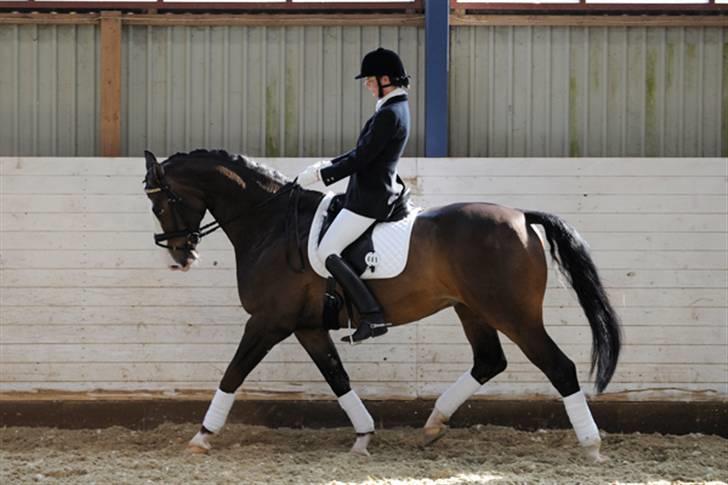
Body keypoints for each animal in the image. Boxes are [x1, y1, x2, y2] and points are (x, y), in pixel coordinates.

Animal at [145, 148, 624, 462]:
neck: (271, 225)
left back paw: (591, 446)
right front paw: (363, 435)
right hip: (471, 309)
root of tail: (522, 217)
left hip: (513, 314)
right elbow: (337, 378)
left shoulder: (268, 322)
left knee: (559, 367)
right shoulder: (307, 327)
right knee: (489, 361)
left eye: (161, 200)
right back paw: (433, 425)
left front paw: (202, 436)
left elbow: (233, 373)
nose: (181, 256)